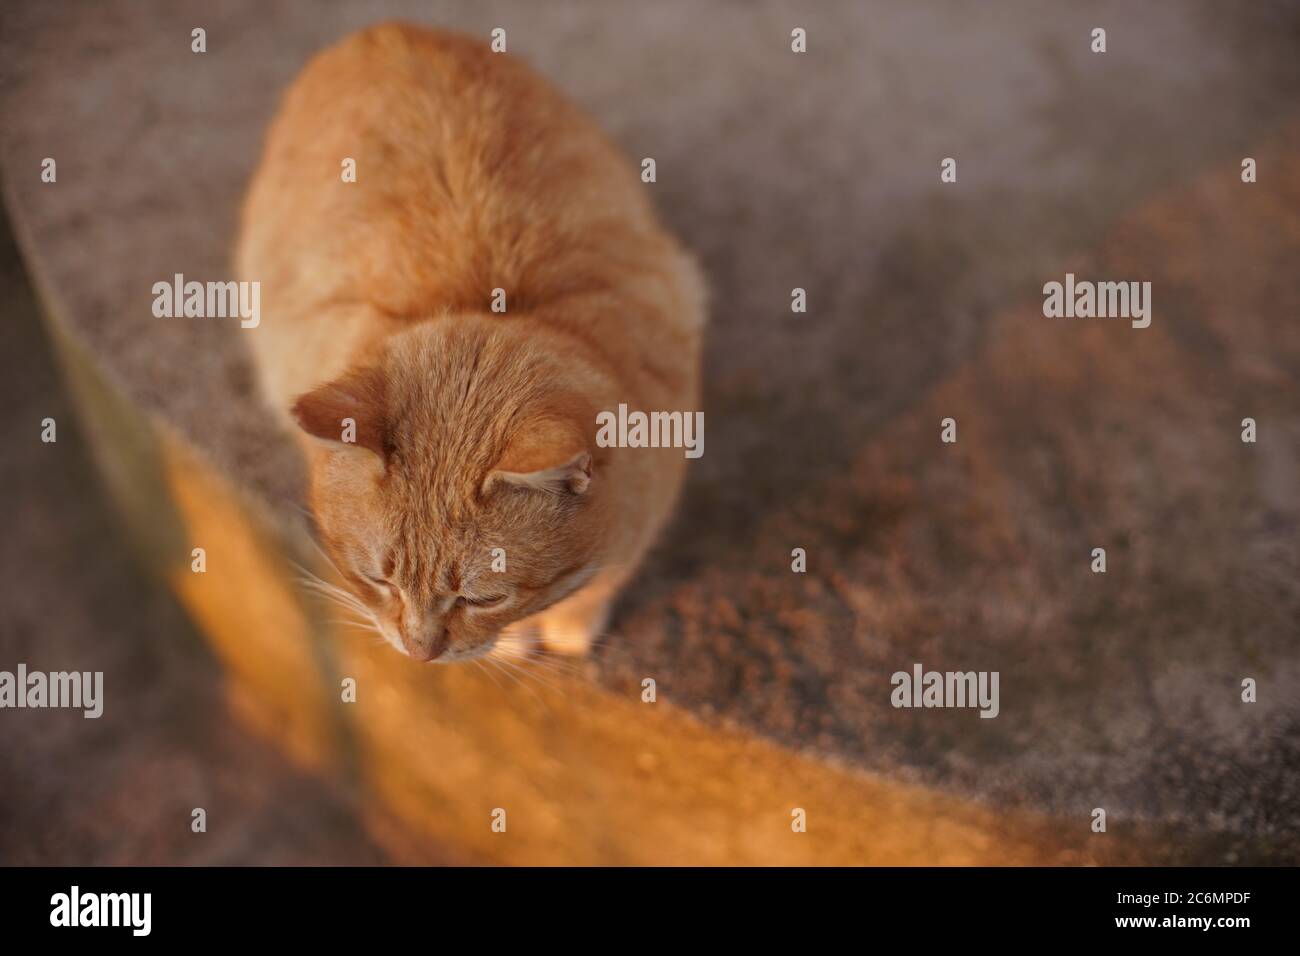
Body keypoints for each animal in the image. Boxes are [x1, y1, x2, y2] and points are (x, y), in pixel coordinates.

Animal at [233, 24, 702, 665]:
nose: (418, 653)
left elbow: (604, 578)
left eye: (483, 598)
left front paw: (569, 622)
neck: (487, 296)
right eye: (380, 580)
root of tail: (382, 29)